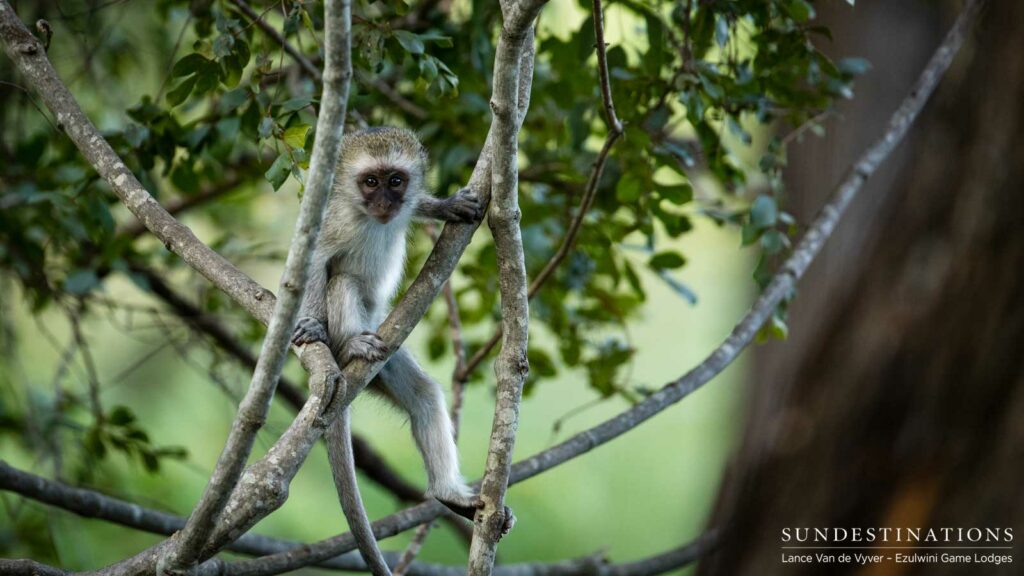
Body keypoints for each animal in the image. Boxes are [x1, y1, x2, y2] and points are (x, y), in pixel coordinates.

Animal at [291, 127, 493, 526]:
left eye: (395, 181)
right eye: (371, 182)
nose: (385, 202)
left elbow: (418, 205)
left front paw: (445, 205)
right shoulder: (333, 221)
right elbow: (316, 261)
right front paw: (311, 324)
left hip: (385, 360)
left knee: (423, 396)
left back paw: (447, 493)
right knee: (343, 283)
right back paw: (350, 344)